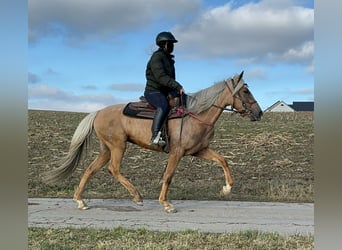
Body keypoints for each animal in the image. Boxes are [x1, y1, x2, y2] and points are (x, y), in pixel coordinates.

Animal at [42, 71, 262, 213]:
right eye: (245, 92)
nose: (259, 113)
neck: (196, 115)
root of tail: (98, 112)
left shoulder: (199, 150)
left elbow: (222, 160)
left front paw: (227, 188)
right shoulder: (177, 152)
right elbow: (168, 176)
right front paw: (166, 203)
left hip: (106, 149)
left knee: (90, 170)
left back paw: (80, 201)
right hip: (118, 146)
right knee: (113, 169)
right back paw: (137, 196)